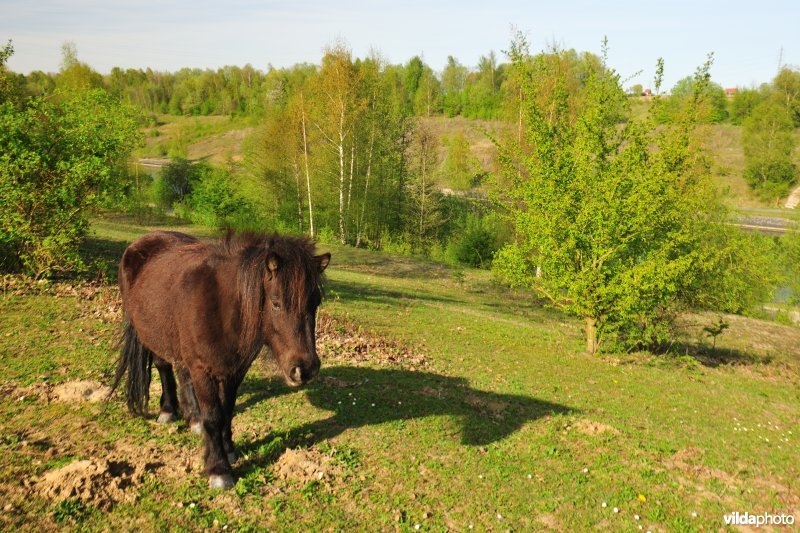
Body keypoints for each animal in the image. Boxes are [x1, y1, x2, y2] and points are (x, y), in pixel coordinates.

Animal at [111, 231, 330, 488]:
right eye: (276, 303)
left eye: (315, 303)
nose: (306, 369)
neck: (222, 309)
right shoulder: (202, 370)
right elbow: (214, 417)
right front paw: (219, 469)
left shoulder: (235, 370)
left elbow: (227, 411)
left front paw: (229, 449)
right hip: (152, 336)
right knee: (164, 367)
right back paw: (168, 411)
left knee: (182, 374)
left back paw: (193, 419)